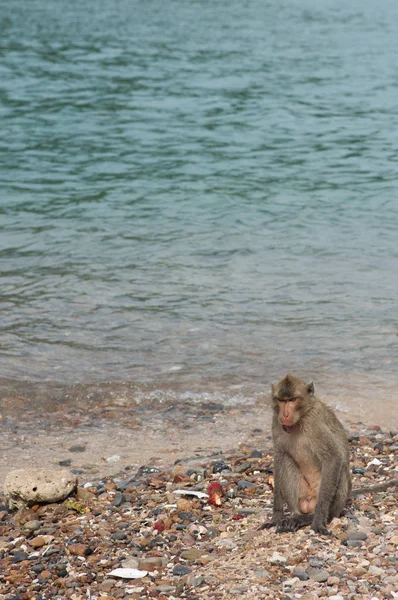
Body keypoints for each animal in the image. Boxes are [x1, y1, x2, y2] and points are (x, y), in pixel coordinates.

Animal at [258, 376, 398, 536]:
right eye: (281, 400)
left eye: (292, 400)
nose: (284, 415)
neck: (301, 418)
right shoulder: (276, 421)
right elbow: (279, 458)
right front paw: (276, 517)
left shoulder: (314, 423)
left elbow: (333, 458)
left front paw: (318, 520)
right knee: (287, 460)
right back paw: (295, 514)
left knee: (341, 470)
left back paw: (310, 517)